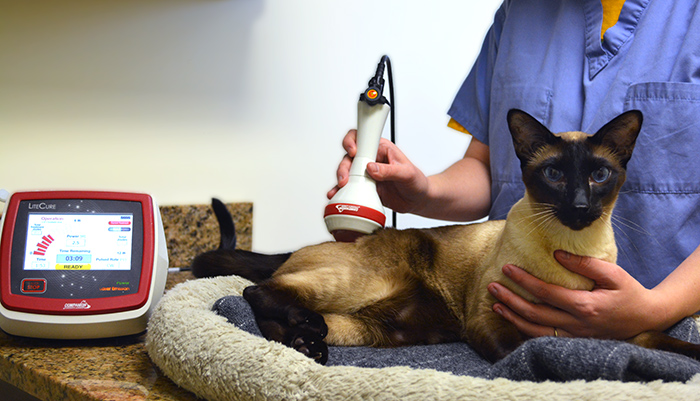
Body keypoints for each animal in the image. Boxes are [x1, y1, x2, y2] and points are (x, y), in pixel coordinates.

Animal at [190, 108, 700, 362]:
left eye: (598, 175)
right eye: (555, 174)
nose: (578, 206)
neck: (568, 252)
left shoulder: (622, 330)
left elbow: (668, 344)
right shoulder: (490, 322)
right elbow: (531, 349)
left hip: (377, 329)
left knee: (274, 320)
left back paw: (307, 345)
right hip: (350, 288)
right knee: (257, 292)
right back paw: (305, 331)